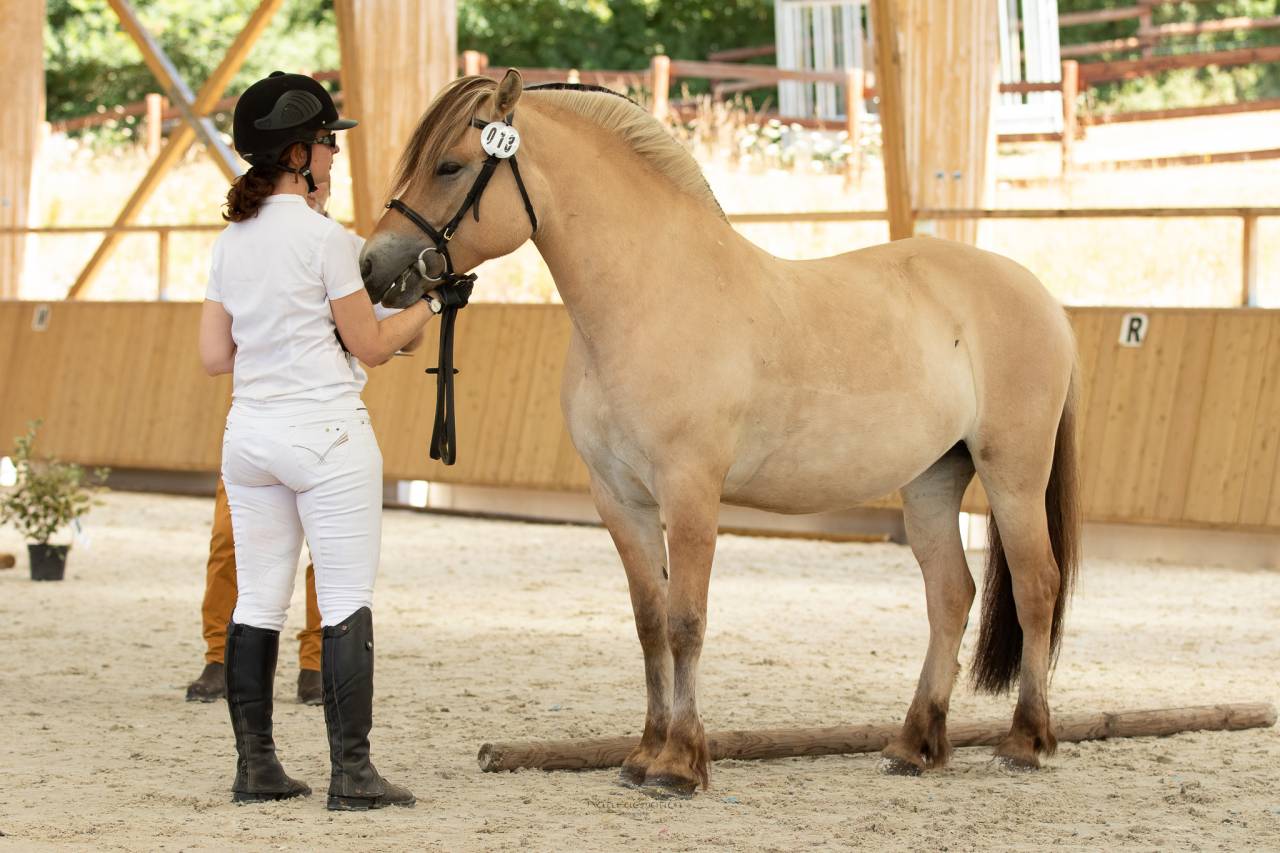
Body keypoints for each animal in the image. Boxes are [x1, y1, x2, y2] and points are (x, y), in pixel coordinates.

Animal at [359, 70, 1080, 798]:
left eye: (450, 166)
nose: (370, 268)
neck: (650, 296)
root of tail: (1038, 294)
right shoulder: (618, 498)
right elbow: (649, 620)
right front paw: (644, 753)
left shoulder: (690, 491)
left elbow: (686, 620)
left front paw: (681, 762)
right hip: (933, 478)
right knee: (950, 594)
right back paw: (914, 743)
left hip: (1013, 473)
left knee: (1036, 586)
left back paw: (1027, 741)